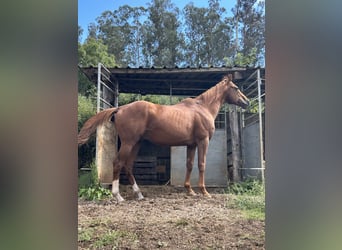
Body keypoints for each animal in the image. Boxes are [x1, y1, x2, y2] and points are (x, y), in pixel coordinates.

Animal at [77, 73, 248, 202]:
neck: (202, 108)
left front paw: (190, 190)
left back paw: (139, 194)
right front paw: (204, 192)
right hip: (128, 143)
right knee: (118, 163)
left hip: (136, 144)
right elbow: (201, 164)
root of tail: (120, 108)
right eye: (236, 88)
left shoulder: (191, 144)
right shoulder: (202, 141)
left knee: (128, 166)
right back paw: (118, 196)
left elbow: (189, 165)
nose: (246, 102)